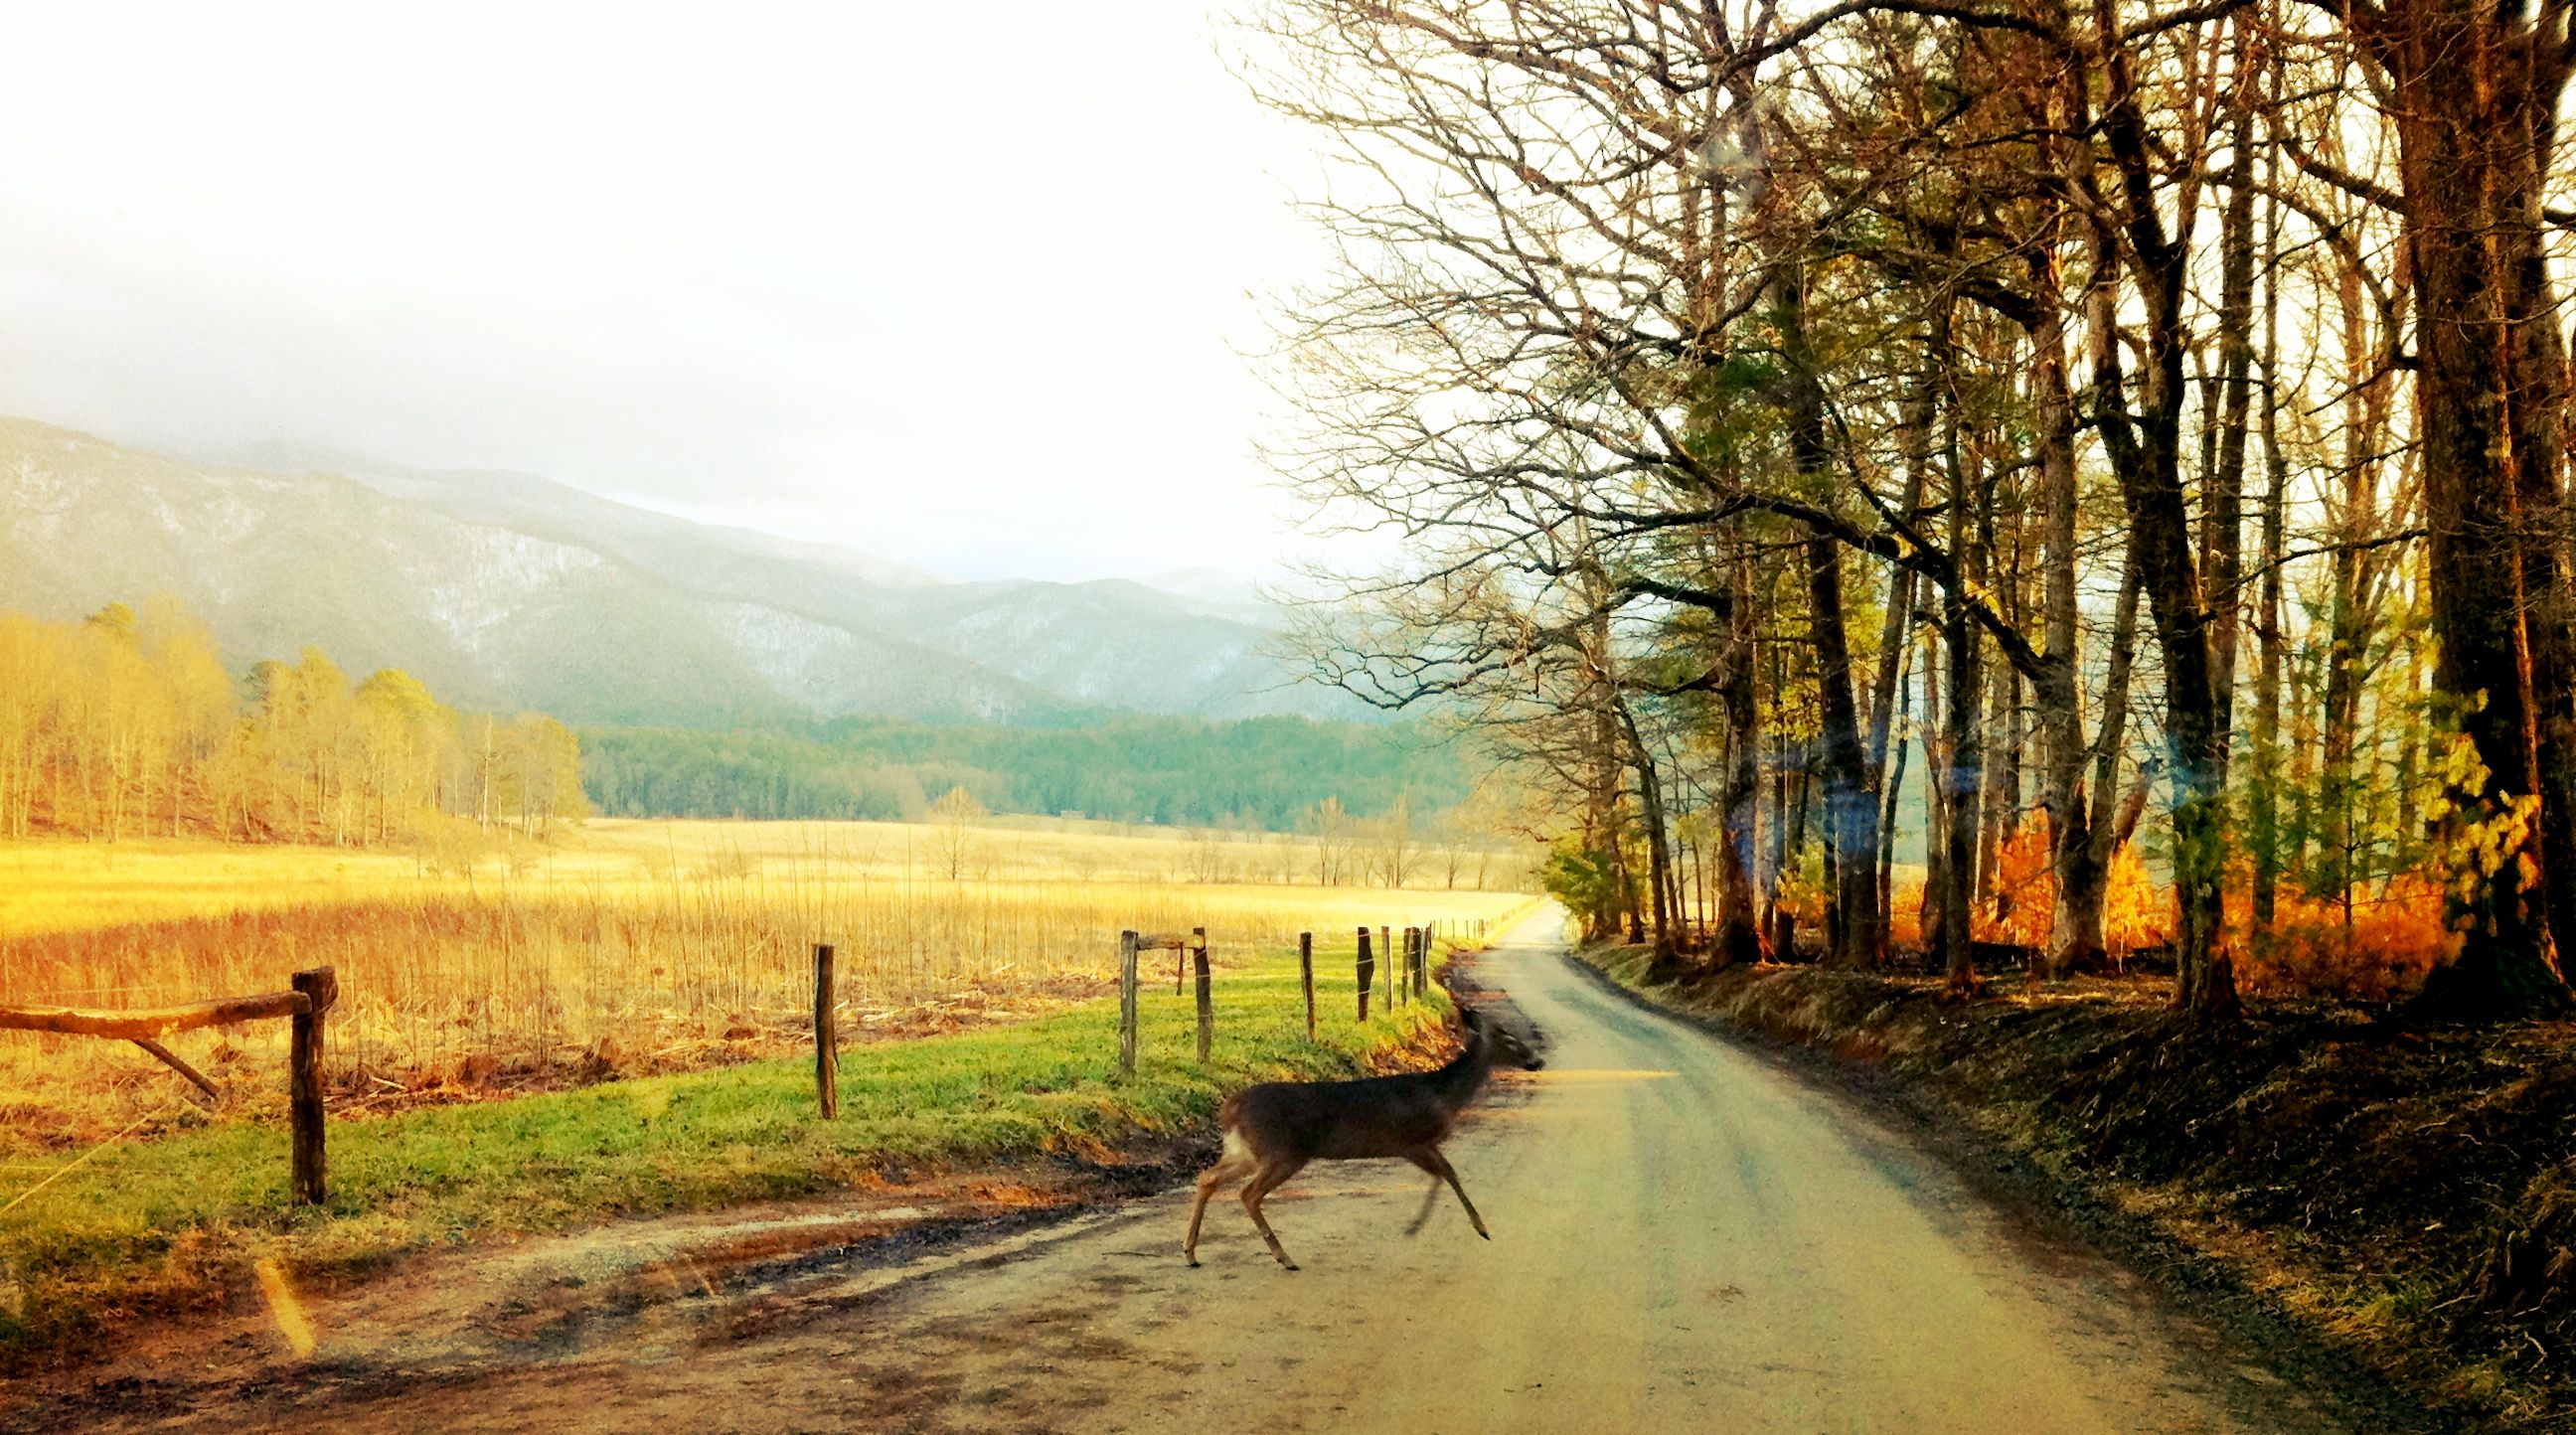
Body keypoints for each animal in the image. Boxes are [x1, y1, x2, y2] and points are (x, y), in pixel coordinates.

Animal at [1183, 1007, 1542, 1270]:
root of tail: (1230, 1108)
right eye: (1508, 1037)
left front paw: (1425, 1226)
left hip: (1246, 1151)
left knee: (1207, 1177)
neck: (1444, 1096)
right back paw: (1284, 1258)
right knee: (1248, 1194)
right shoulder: (1410, 1141)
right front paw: (1477, 1228)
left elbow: (1445, 1174)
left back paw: (1191, 1253)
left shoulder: (1417, 1144)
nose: (1536, 1060)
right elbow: (1448, 1174)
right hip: (1282, 1151)